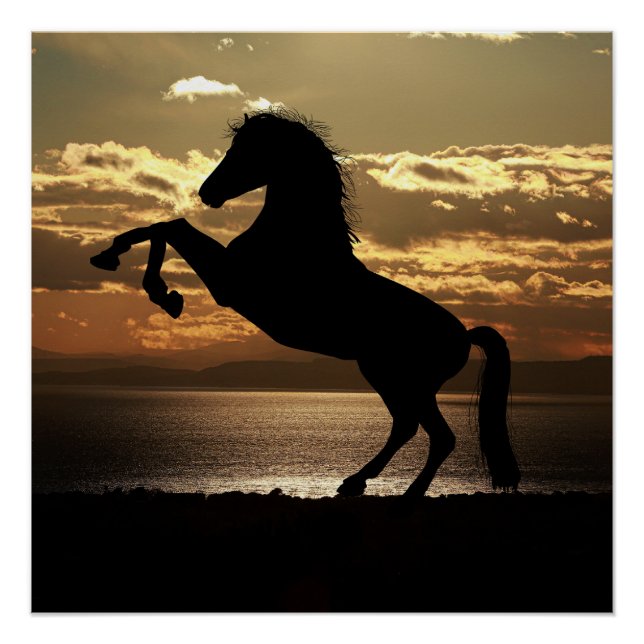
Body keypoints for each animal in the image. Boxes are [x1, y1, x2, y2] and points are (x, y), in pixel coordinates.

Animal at [90, 108, 520, 497]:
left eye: (245, 150)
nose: (206, 193)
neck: (297, 239)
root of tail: (464, 335)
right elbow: (164, 226)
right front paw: (116, 260)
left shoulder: (229, 283)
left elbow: (170, 227)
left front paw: (160, 291)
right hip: (391, 378)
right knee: (407, 426)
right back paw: (355, 482)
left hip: (401, 379)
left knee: (434, 434)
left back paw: (403, 492)